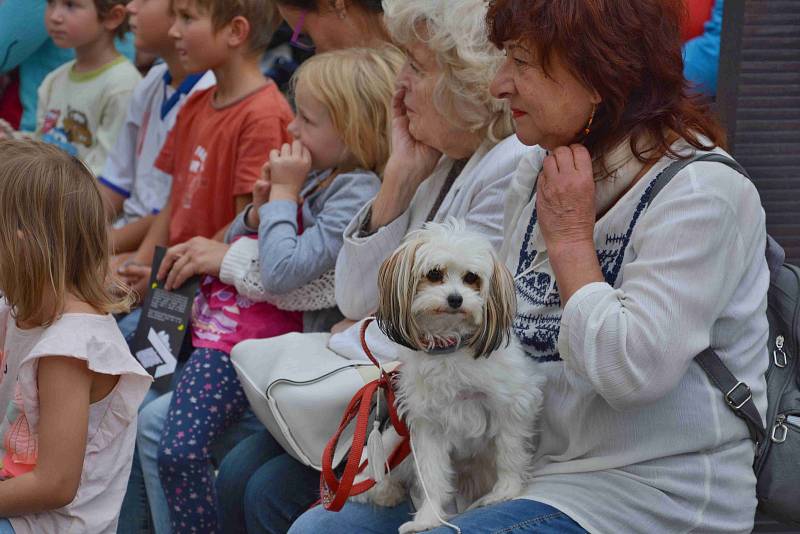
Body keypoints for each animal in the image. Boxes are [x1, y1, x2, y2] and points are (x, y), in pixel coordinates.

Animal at [360, 221, 548, 534]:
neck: (450, 350)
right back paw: (382, 490)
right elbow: (432, 476)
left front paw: (505, 490)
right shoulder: (428, 426)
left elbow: (509, 451)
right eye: (434, 274)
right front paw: (427, 518)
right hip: (393, 439)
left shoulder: (513, 404)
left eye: (472, 277)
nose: (456, 299)